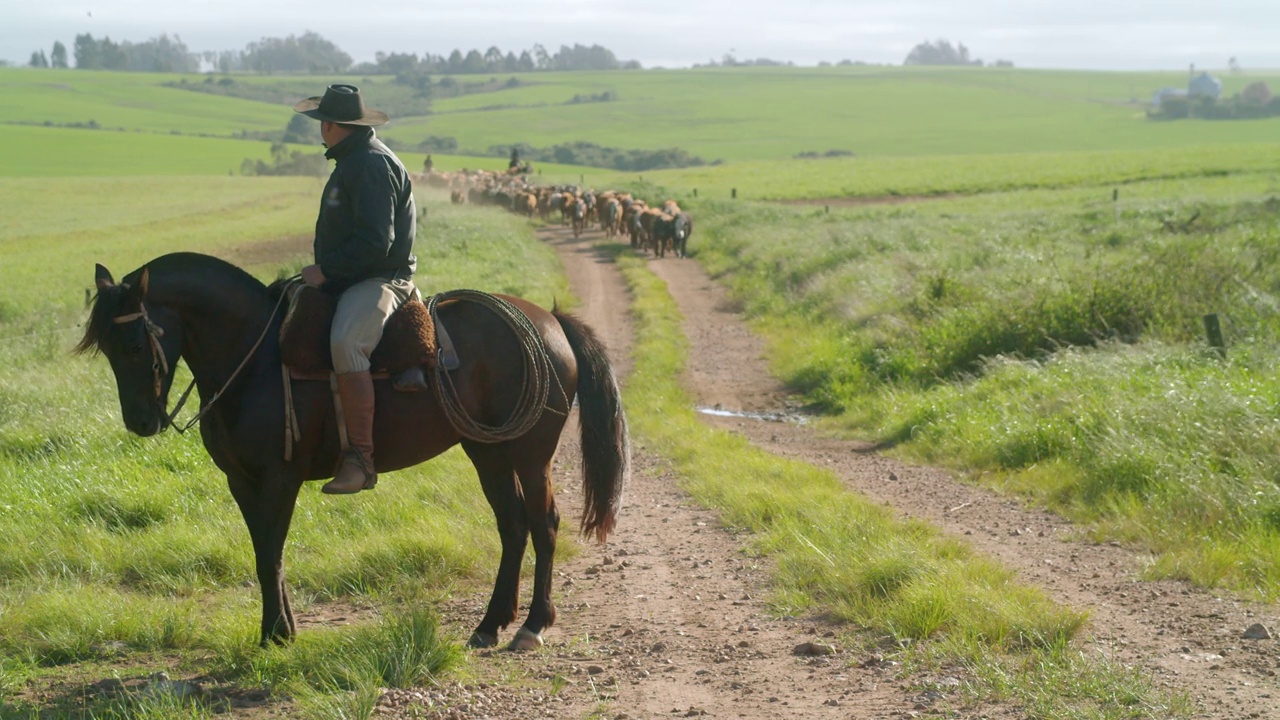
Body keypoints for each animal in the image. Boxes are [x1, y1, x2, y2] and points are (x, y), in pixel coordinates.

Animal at [77, 253, 627, 650]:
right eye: (105, 348)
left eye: (134, 344)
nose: (140, 421)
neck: (256, 358)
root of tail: (548, 320)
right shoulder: (242, 482)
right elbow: (264, 553)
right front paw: (282, 628)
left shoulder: (279, 478)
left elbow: (271, 554)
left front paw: (275, 635)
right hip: (486, 450)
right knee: (512, 526)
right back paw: (490, 625)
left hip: (530, 455)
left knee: (543, 524)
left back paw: (532, 625)